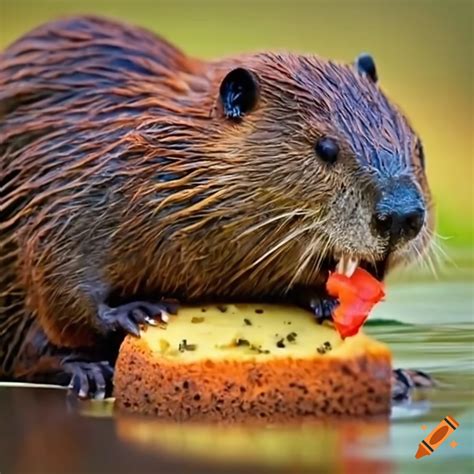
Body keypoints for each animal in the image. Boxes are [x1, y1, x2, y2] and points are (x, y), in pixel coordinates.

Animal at [0, 16, 434, 398]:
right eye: (325, 148)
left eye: (417, 147)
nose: (402, 216)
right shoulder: (73, 178)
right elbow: (58, 272)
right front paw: (136, 312)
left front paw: (328, 305)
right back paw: (89, 370)